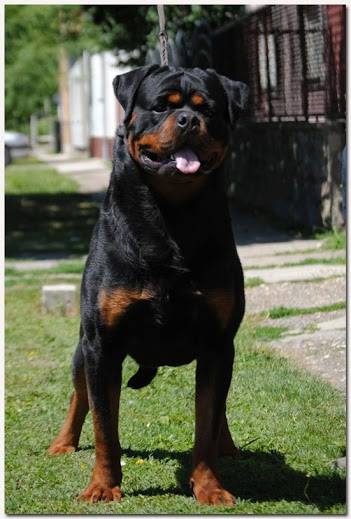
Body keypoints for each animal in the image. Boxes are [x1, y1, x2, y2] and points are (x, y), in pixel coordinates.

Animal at [48, 63, 249, 506]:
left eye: (207, 109)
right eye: (161, 106)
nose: (189, 120)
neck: (170, 216)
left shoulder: (217, 343)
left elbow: (206, 421)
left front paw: (208, 486)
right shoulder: (101, 343)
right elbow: (104, 426)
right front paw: (103, 485)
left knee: (220, 407)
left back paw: (228, 444)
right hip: (83, 349)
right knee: (82, 395)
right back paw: (63, 441)